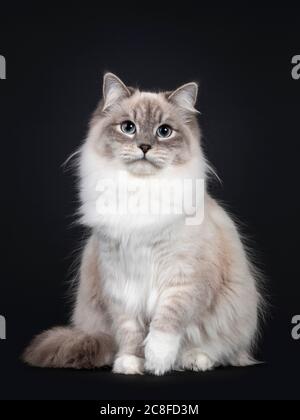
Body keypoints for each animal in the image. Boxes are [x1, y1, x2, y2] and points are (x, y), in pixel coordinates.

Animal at [22, 73, 262, 378]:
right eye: (128, 128)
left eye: (164, 132)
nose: (145, 146)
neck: (140, 192)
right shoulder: (121, 283)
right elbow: (131, 332)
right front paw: (131, 364)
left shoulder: (182, 281)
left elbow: (165, 325)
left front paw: (157, 362)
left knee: (220, 351)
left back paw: (194, 360)